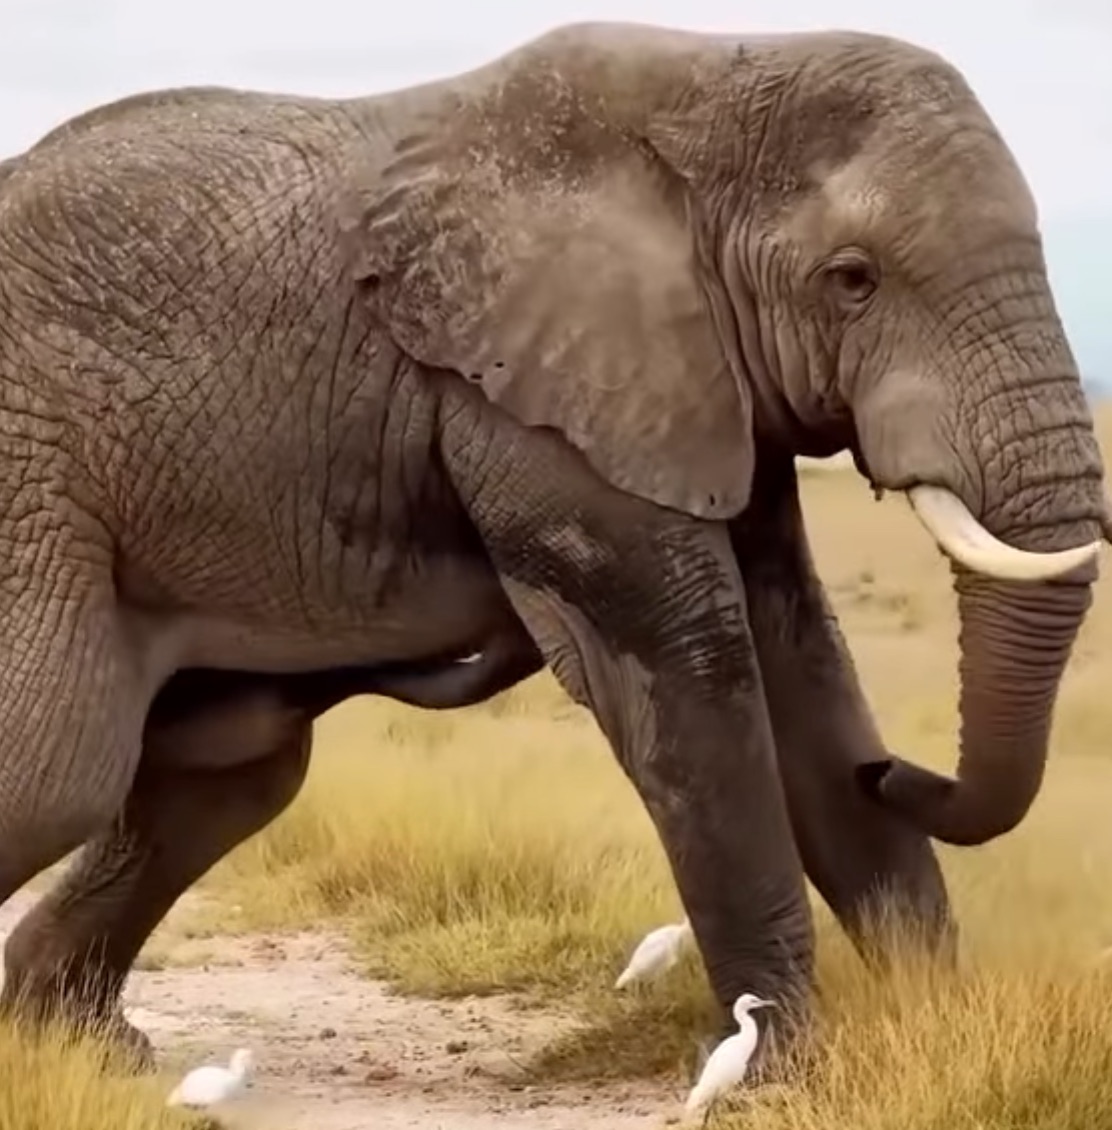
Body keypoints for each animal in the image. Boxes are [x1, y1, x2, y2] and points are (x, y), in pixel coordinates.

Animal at [0, 21, 1105, 1070]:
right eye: (853, 279)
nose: (897, 769)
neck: (712, 83)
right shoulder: (527, 400)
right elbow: (697, 677)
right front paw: (778, 1062)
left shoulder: (689, 392)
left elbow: (800, 662)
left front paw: (935, 1024)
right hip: (36, 479)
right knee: (65, 768)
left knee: (223, 775)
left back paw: (77, 1042)